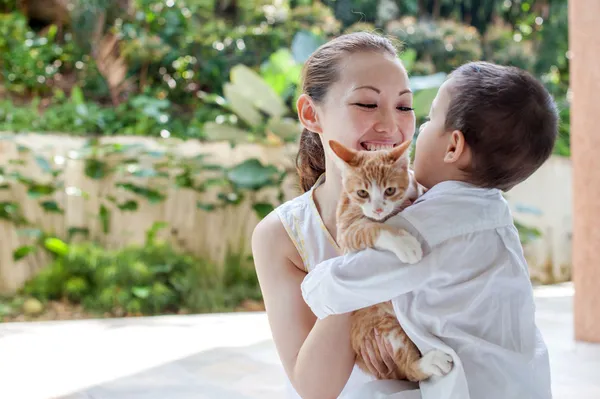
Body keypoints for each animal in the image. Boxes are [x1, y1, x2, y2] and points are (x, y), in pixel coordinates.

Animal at [330, 140, 452, 382]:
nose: (378, 209)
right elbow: (371, 228)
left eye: (390, 190)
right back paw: (430, 363)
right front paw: (404, 243)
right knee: (408, 369)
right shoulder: (346, 232)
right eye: (362, 193)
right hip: (387, 327)